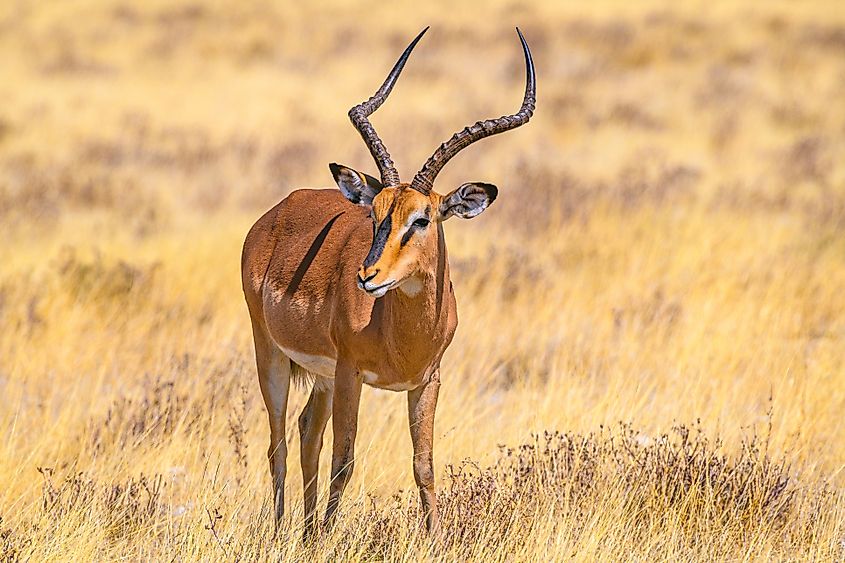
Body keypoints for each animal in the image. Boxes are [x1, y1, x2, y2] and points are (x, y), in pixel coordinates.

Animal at [241, 26, 535, 536]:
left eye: (422, 219)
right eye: (374, 214)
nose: (367, 276)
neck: (400, 333)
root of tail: (275, 213)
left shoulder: (427, 380)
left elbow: (424, 465)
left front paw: (435, 540)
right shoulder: (350, 373)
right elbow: (344, 459)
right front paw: (328, 540)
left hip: (321, 376)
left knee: (306, 431)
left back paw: (304, 533)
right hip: (273, 355)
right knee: (278, 442)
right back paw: (284, 533)